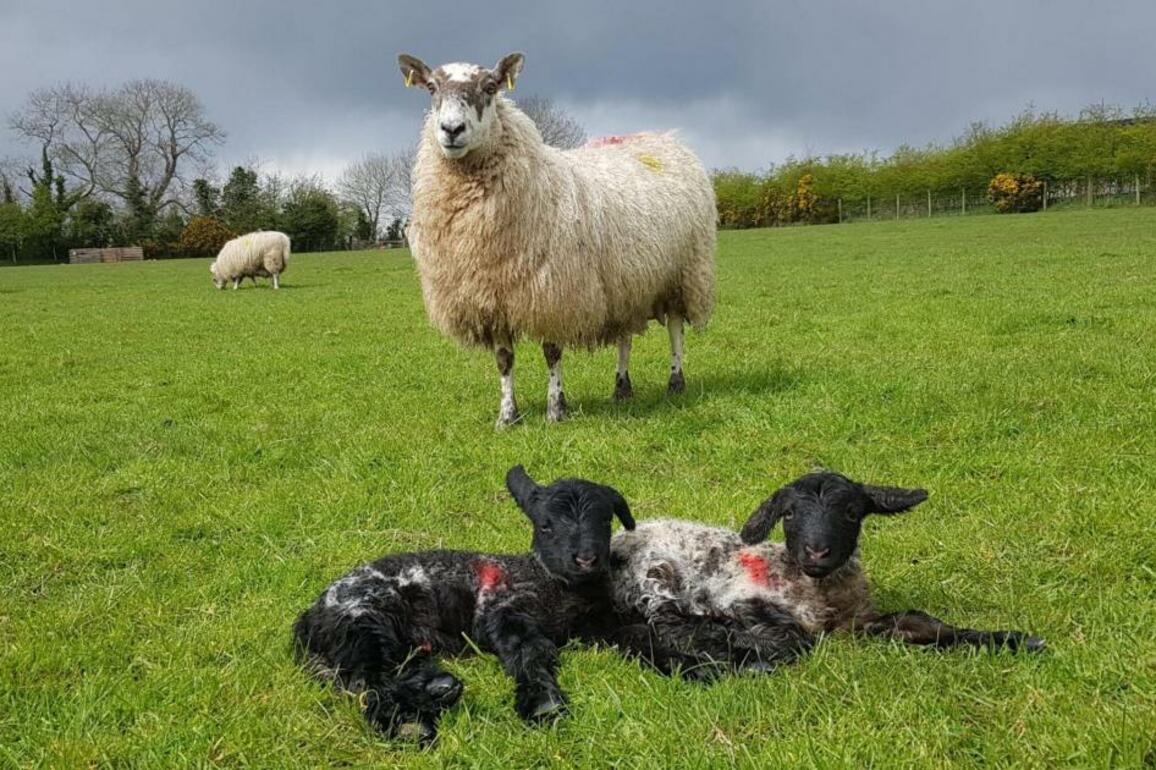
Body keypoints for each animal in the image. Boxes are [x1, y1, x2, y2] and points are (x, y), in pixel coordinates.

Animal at [292, 465, 641, 743]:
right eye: (546, 525)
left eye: (606, 520)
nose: (586, 559)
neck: (554, 583)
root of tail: (310, 618)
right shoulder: (503, 612)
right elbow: (530, 653)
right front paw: (544, 703)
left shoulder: (596, 616)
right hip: (364, 621)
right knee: (367, 680)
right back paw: (409, 723)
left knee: (393, 669)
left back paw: (436, 688)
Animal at [398, 53, 716, 428]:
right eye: (431, 88)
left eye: (490, 87)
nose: (451, 130)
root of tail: (665, 138)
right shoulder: (493, 297)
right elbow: (504, 359)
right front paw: (507, 417)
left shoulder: (553, 292)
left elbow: (552, 353)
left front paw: (555, 409)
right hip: (625, 280)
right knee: (624, 336)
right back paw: (621, 388)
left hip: (683, 272)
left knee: (676, 329)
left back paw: (675, 381)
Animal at [609, 472, 1045, 675]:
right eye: (788, 514)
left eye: (851, 512)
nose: (817, 550)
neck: (819, 592)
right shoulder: (739, 601)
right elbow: (791, 638)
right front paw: (740, 642)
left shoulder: (860, 620)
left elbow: (920, 623)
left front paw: (1011, 639)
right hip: (655, 579)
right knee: (667, 624)